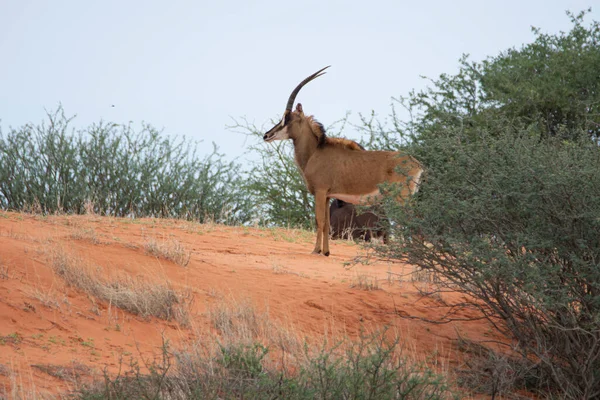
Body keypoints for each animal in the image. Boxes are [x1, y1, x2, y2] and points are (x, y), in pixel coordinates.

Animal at [262, 64, 422, 255]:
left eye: (287, 118)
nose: (266, 135)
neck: (316, 151)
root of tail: (416, 163)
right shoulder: (328, 196)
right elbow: (326, 224)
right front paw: (326, 252)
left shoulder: (320, 191)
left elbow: (319, 221)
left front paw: (316, 251)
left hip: (402, 198)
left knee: (411, 222)